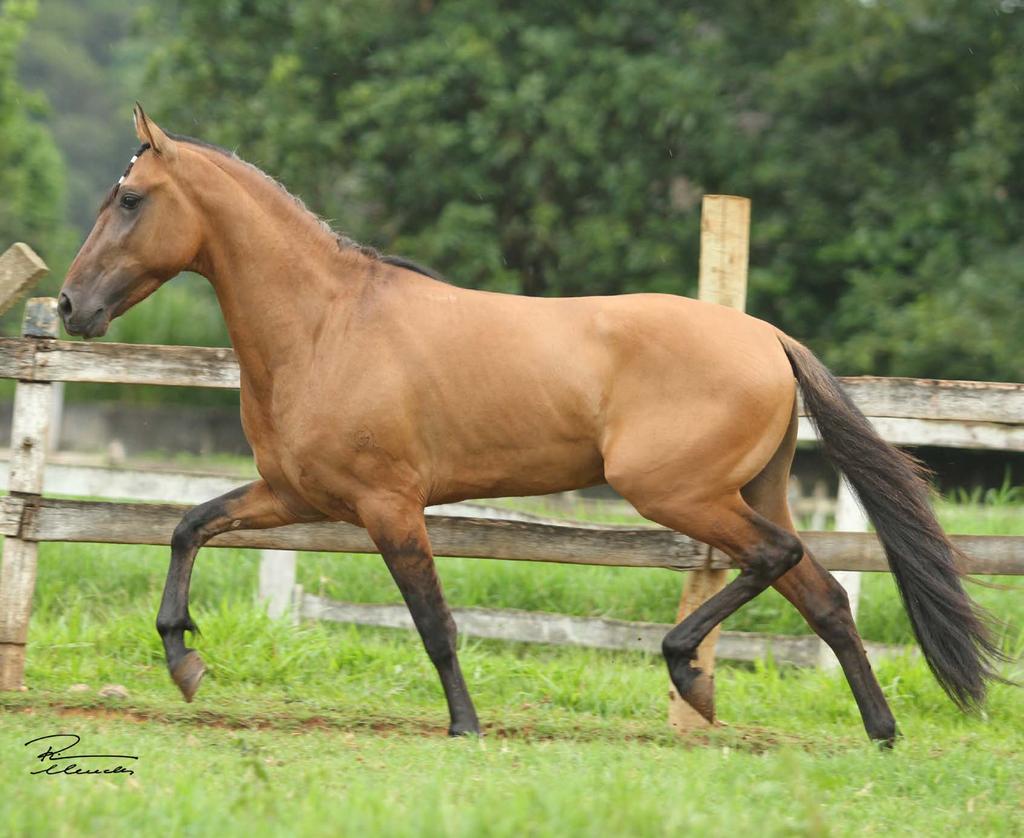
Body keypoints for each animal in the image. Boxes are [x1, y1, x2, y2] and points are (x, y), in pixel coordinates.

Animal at [56, 107, 999, 741]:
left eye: (130, 199)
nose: (69, 307)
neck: (326, 325)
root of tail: (767, 337)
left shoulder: (389, 507)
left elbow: (435, 623)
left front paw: (465, 727)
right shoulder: (295, 495)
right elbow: (188, 526)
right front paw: (183, 661)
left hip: (678, 494)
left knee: (780, 558)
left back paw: (688, 670)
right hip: (744, 492)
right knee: (827, 595)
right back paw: (878, 731)